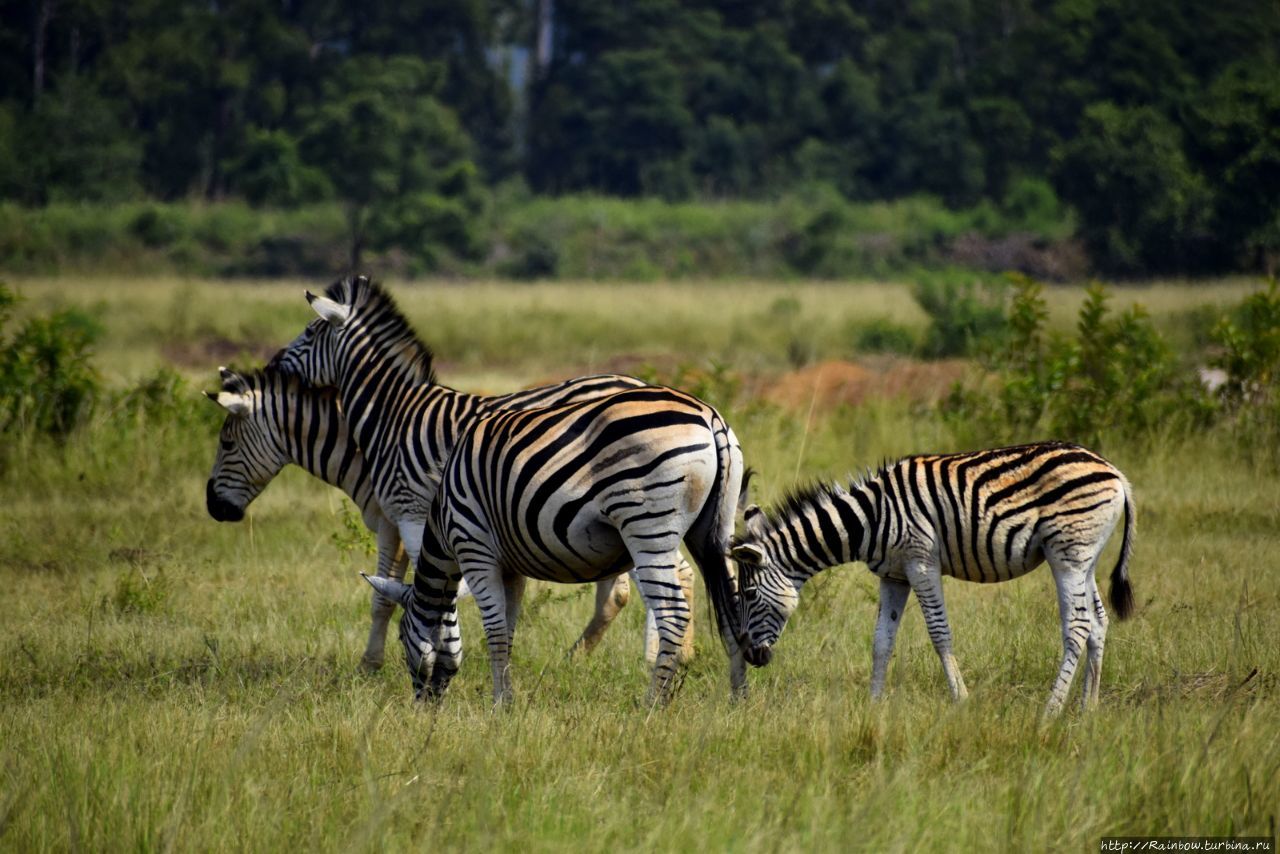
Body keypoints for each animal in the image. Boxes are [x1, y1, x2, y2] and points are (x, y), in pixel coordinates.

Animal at [206, 363, 691, 670]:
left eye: (226, 443)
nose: (214, 508)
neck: (364, 443)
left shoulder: (396, 518)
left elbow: (387, 596)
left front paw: (372, 663)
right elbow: (393, 591)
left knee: (667, 577)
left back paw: (658, 656)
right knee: (625, 591)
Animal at [360, 386, 747, 706]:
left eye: (401, 638)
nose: (423, 706)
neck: (443, 518)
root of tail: (708, 415)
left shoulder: (475, 549)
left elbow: (494, 631)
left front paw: (500, 705)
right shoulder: (510, 569)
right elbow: (507, 631)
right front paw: (506, 699)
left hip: (647, 526)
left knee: (674, 614)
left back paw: (652, 705)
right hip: (713, 532)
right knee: (732, 608)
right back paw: (737, 699)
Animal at [727, 440, 1136, 717]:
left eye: (749, 593)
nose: (750, 655)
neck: (870, 519)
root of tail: (1116, 473)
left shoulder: (921, 561)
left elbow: (940, 633)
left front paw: (961, 700)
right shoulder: (893, 576)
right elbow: (881, 641)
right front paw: (873, 706)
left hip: (1068, 554)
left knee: (1078, 626)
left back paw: (1050, 711)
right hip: (1086, 558)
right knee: (1098, 621)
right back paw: (1086, 708)